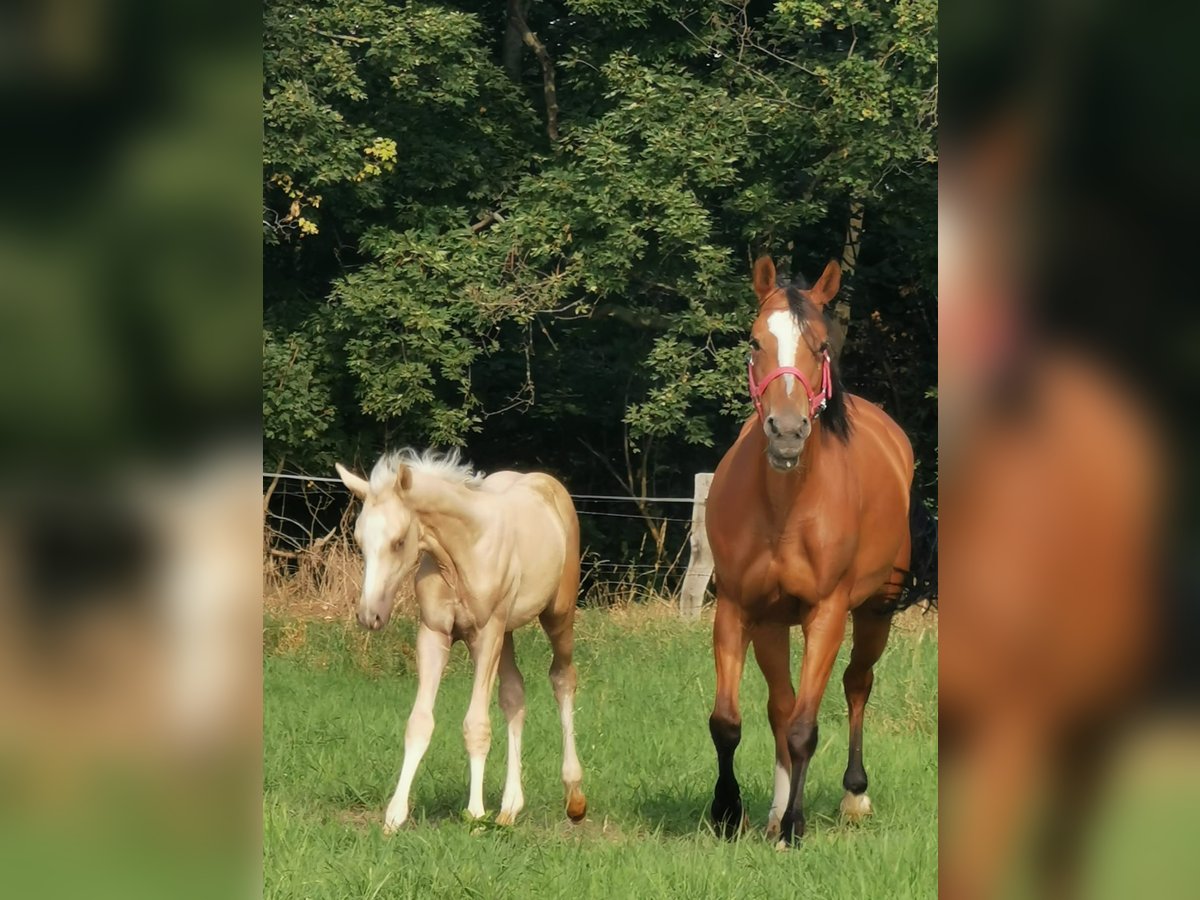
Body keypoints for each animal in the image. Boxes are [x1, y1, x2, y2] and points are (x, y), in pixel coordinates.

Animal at [335, 449, 587, 831]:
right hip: (507, 633)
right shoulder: (434, 633)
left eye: (398, 541)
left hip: (556, 614)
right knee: (514, 695)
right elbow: (419, 723)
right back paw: (510, 807)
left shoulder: (485, 635)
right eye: (360, 541)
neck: (461, 551)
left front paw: (475, 813)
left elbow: (476, 725)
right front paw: (394, 815)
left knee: (562, 679)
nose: (369, 615)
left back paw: (573, 797)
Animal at [704, 255, 933, 848]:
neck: (785, 507)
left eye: (821, 346)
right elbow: (729, 721)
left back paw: (854, 796)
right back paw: (773, 809)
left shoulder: (825, 615)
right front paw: (728, 812)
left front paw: (795, 826)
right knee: (780, 707)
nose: (787, 432)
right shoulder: (738, 610)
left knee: (856, 686)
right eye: (755, 341)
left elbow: (807, 727)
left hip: (875, 612)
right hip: (771, 624)